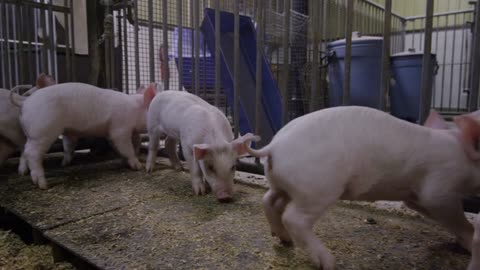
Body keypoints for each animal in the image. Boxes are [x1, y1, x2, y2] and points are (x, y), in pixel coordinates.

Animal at [18, 81, 158, 189]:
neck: (135, 110)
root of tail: (25, 103)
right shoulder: (120, 129)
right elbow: (126, 147)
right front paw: (138, 166)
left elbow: (126, 146)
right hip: (42, 130)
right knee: (32, 152)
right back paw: (43, 185)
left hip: (31, 134)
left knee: (24, 150)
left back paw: (23, 173)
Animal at [242, 106, 480, 270]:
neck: (462, 154)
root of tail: (274, 146)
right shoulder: (440, 187)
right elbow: (454, 216)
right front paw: (470, 240)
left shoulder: (413, 197)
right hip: (317, 190)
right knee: (294, 218)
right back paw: (329, 262)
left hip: (284, 185)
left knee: (269, 200)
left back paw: (284, 240)